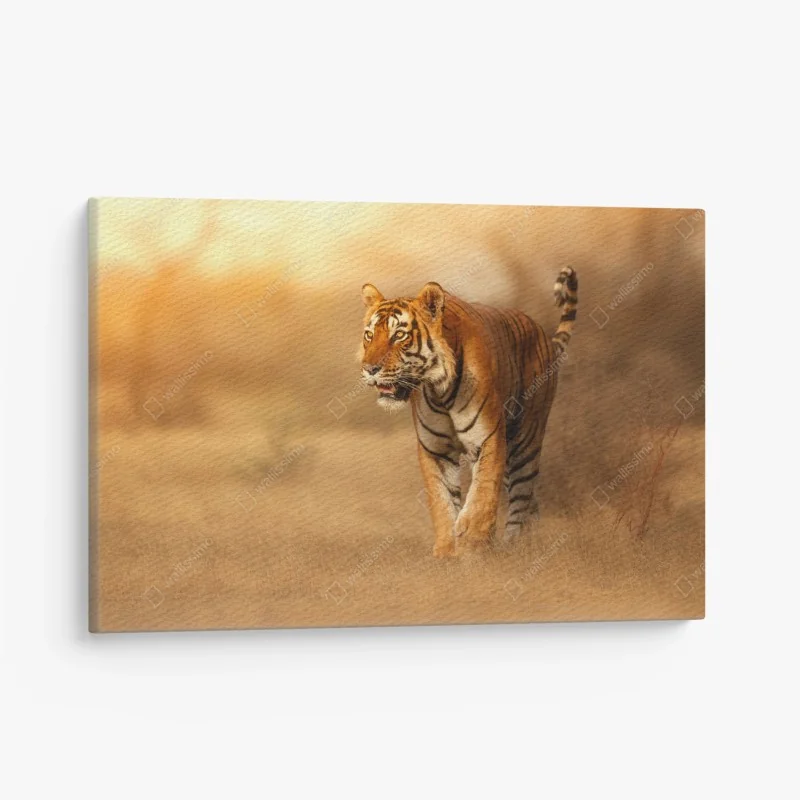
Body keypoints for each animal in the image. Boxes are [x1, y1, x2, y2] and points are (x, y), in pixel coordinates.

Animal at [358, 267, 578, 557]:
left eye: (399, 336)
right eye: (369, 335)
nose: (369, 369)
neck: (439, 390)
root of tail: (543, 334)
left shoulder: (488, 438)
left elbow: (482, 493)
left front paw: (473, 544)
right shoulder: (435, 449)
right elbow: (441, 501)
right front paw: (446, 552)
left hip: (525, 440)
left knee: (522, 497)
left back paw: (515, 546)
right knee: (531, 503)